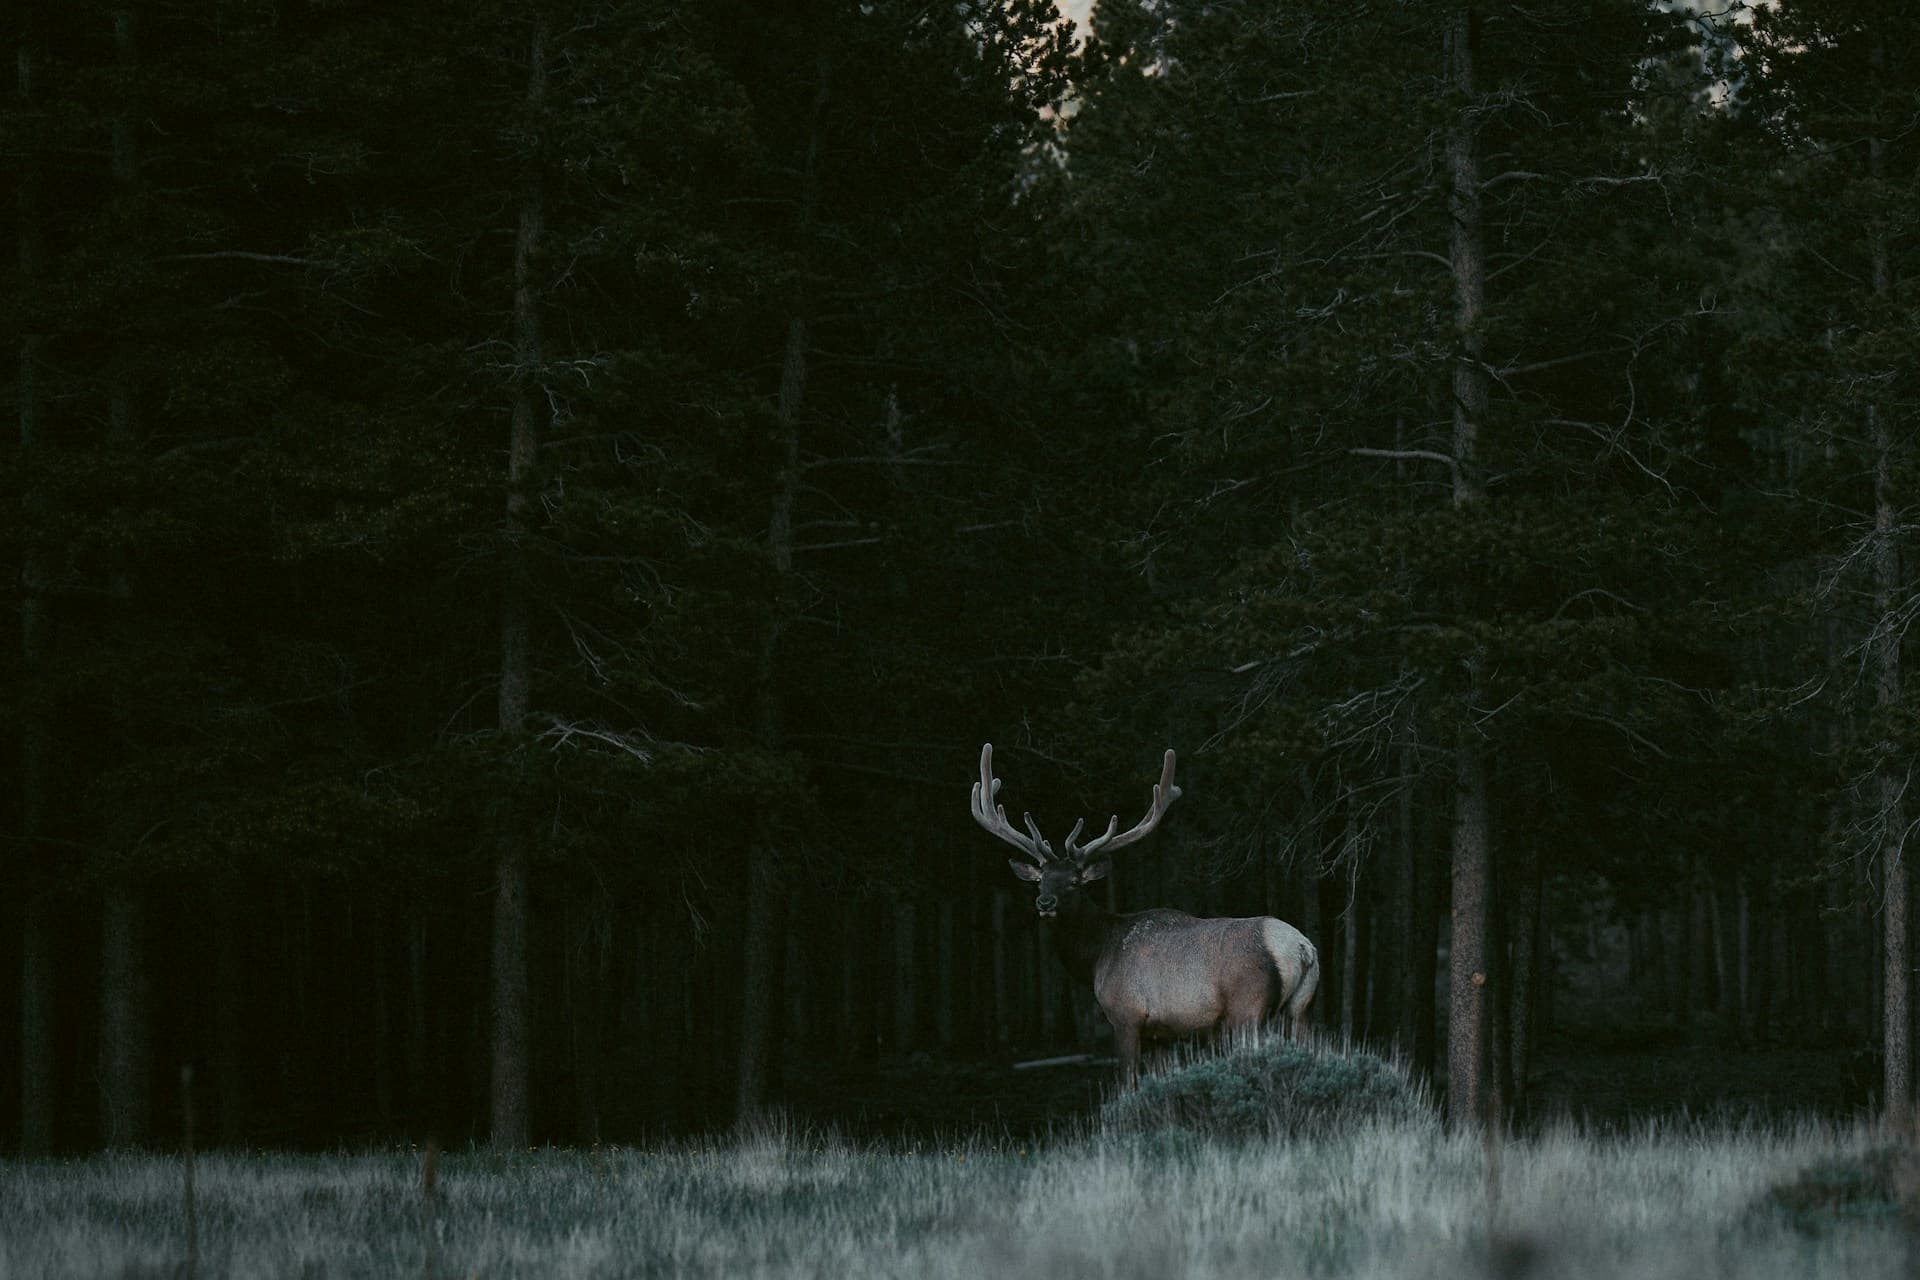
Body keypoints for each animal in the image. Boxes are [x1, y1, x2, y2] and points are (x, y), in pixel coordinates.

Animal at [970, 743, 1319, 1085]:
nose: (1045, 903)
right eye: (1040, 880)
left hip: (1247, 1008)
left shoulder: (1126, 1015)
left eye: (1074, 882)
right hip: (1300, 1008)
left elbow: (1127, 1082)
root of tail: (1301, 949)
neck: (1096, 957)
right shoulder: (1162, 1033)